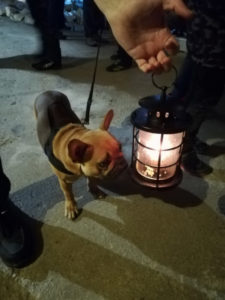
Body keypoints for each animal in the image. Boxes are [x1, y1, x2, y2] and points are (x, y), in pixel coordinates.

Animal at [34, 90, 127, 219]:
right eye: (103, 163)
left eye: (120, 147)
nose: (121, 163)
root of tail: (48, 92)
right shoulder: (64, 181)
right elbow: (68, 193)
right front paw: (71, 206)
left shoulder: (91, 171)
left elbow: (92, 180)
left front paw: (95, 190)